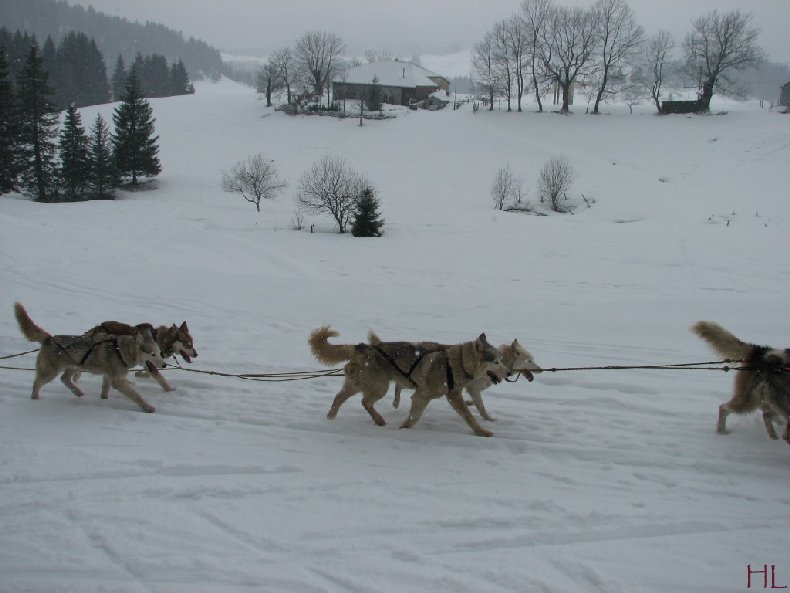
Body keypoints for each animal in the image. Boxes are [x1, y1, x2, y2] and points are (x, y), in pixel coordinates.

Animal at [13, 300, 166, 412]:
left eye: (159, 353)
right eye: (152, 354)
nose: (164, 365)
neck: (121, 350)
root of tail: (50, 338)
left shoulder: (108, 377)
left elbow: (105, 391)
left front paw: (103, 400)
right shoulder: (117, 381)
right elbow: (136, 396)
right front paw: (147, 407)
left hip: (74, 365)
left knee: (64, 378)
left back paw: (77, 392)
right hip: (50, 372)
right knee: (37, 383)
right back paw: (35, 399)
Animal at [310, 324, 508, 434]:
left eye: (501, 360)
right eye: (496, 361)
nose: (508, 373)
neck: (456, 362)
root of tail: (362, 347)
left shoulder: (424, 396)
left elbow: (414, 416)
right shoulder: (430, 396)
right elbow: (469, 417)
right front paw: (482, 431)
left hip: (358, 384)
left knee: (339, 398)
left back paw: (331, 418)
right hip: (379, 386)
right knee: (365, 402)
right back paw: (379, 420)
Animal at [390, 338, 544, 420]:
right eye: (530, 360)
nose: (541, 369)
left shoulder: (472, 389)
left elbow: (475, 402)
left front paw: (469, 403)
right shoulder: (473, 388)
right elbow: (481, 406)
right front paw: (488, 418)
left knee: (399, 385)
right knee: (398, 385)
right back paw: (396, 402)